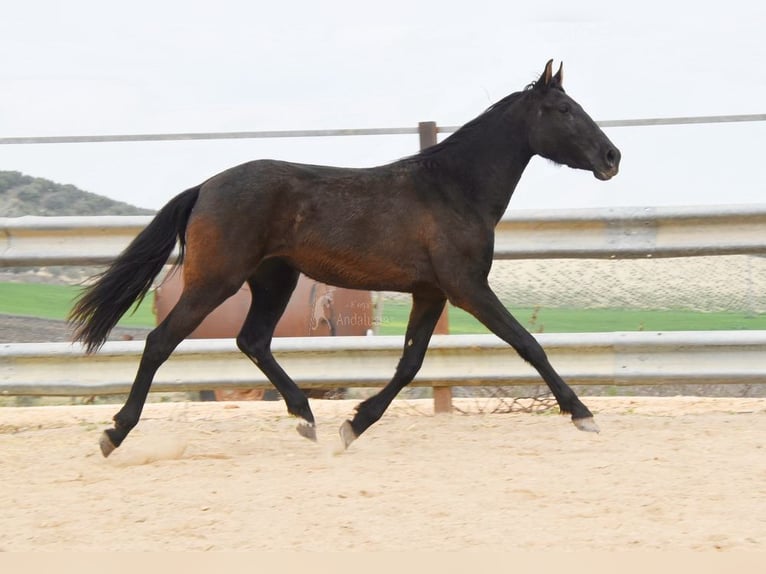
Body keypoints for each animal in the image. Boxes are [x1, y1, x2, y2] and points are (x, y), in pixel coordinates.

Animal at [69, 60, 624, 460]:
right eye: (565, 109)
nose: (612, 158)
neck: (453, 189)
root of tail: (205, 187)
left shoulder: (431, 292)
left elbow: (410, 364)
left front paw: (353, 425)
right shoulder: (467, 287)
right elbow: (528, 344)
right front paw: (582, 414)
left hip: (274, 281)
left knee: (253, 340)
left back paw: (306, 419)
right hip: (217, 280)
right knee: (162, 341)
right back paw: (114, 434)